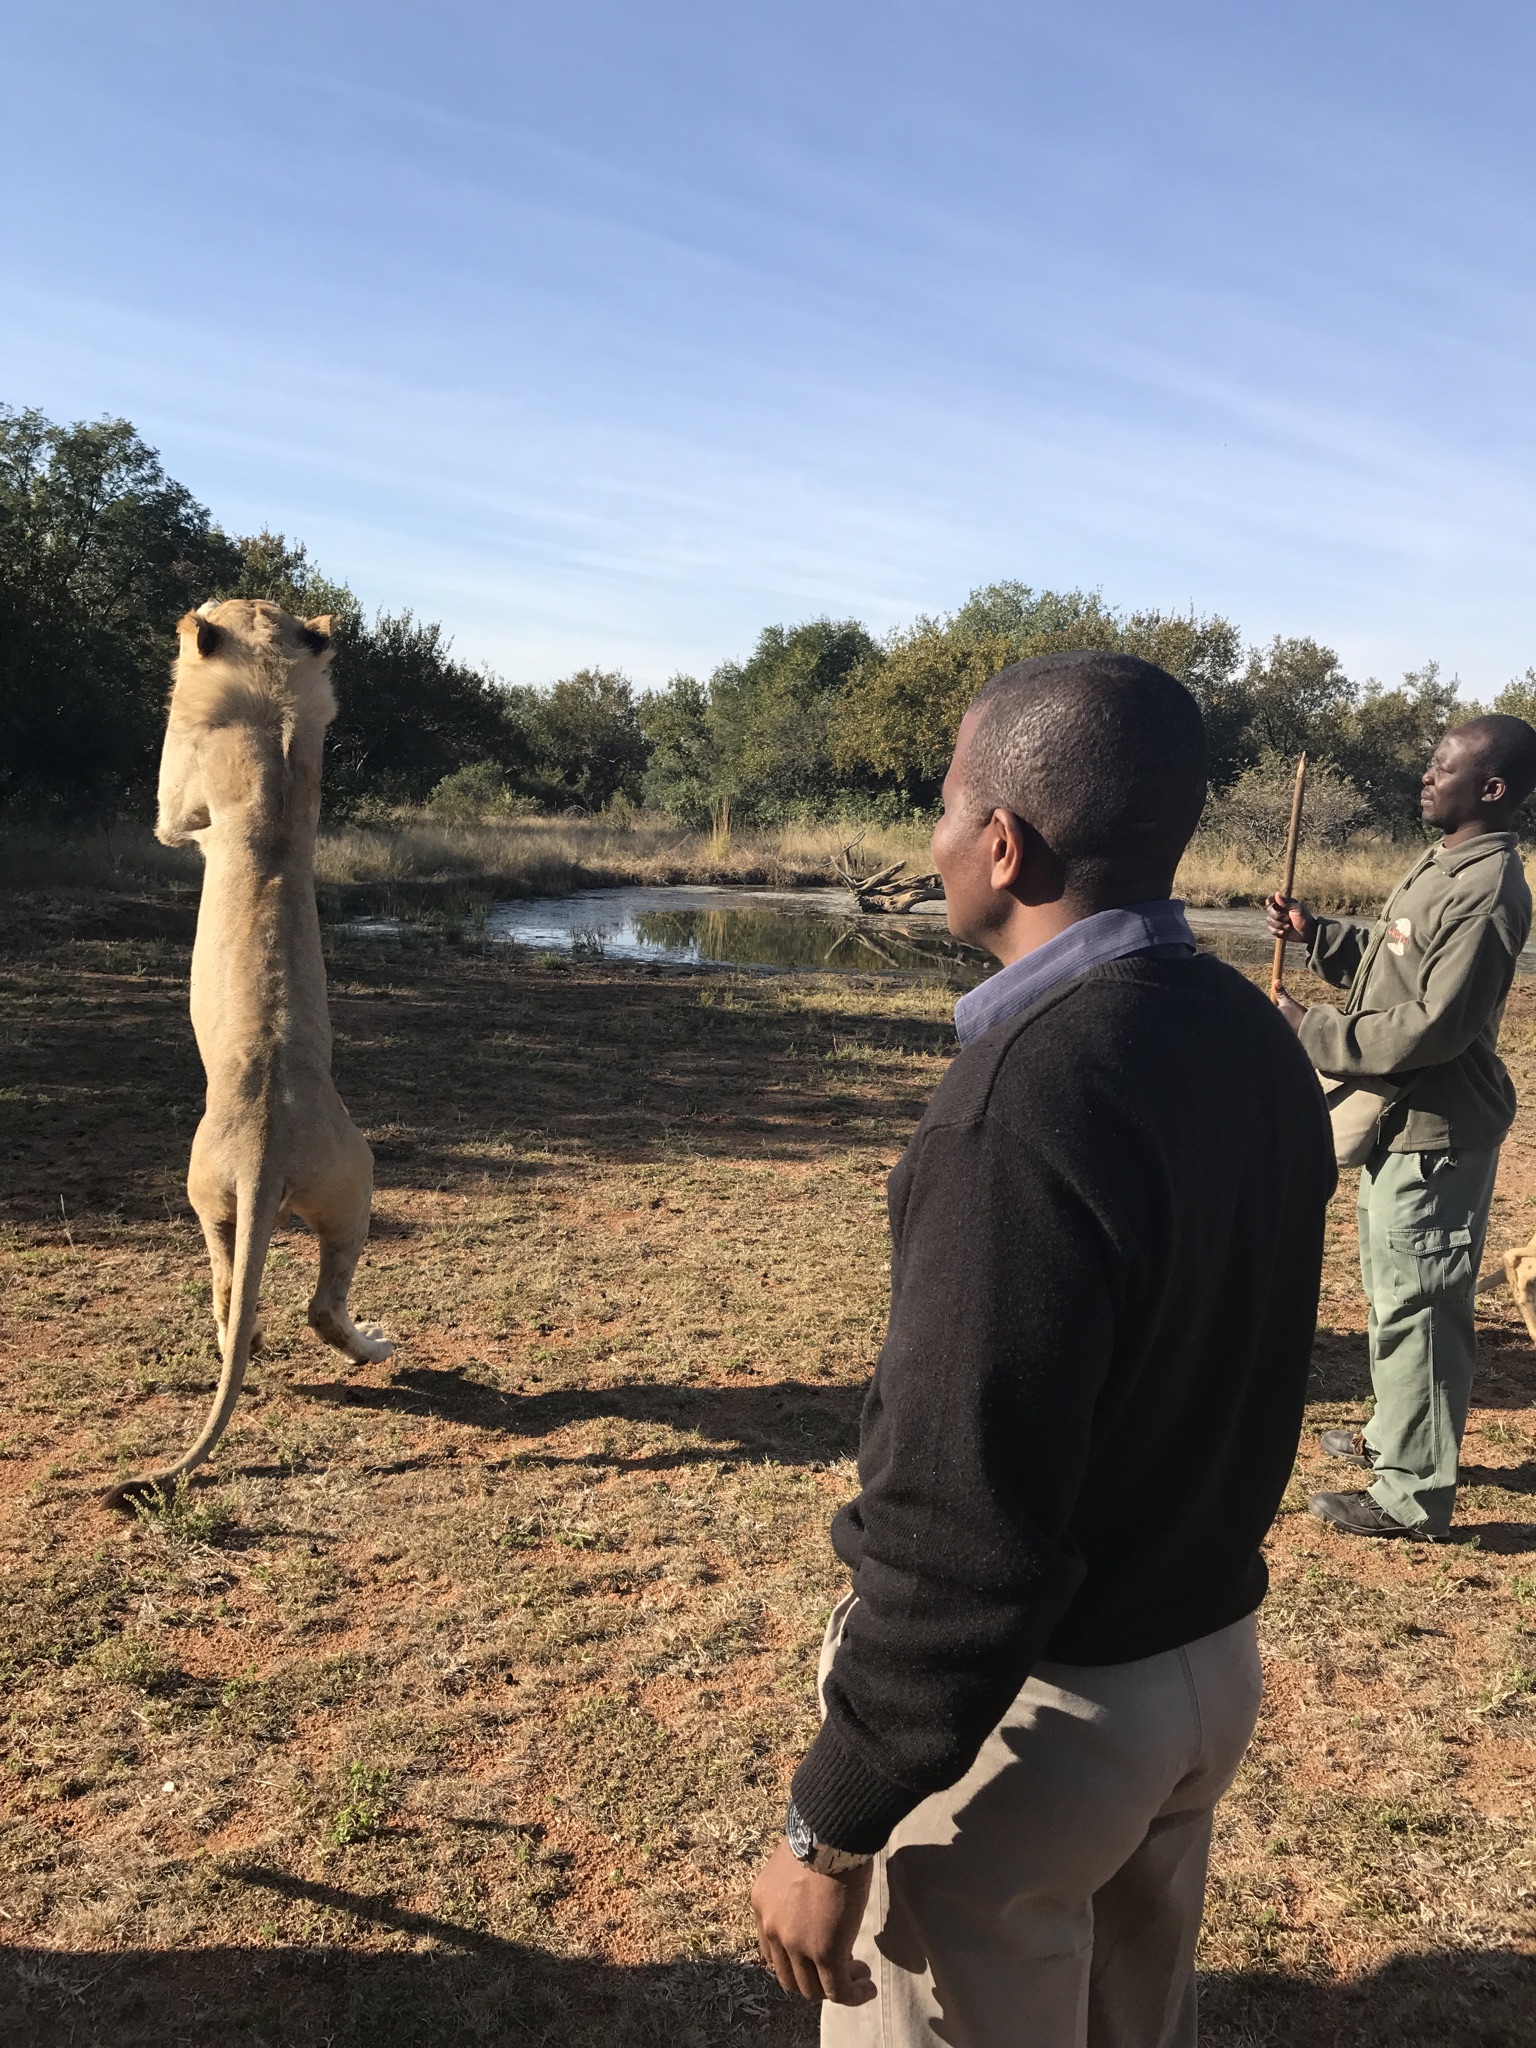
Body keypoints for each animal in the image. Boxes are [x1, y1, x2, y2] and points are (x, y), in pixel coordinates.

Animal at [103, 599, 392, 1510]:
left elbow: (168, 818)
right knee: (262, 1306)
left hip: (259, 1194)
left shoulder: (181, 795)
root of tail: (269, 1138)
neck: (269, 691)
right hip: (296, 1195)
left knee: (272, 1304)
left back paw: (374, 1345)